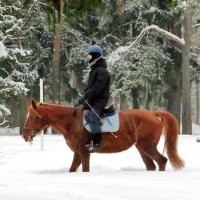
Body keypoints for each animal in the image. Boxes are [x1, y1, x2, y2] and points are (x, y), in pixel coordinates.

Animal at [21, 100, 184, 172]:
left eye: (35, 117)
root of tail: (154, 114)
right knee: (151, 165)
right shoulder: (77, 153)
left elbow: (85, 169)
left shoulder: (84, 152)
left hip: (148, 146)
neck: (72, 122)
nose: (24, 134)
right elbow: (73, 169)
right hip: (141, 148)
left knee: (162, 161)